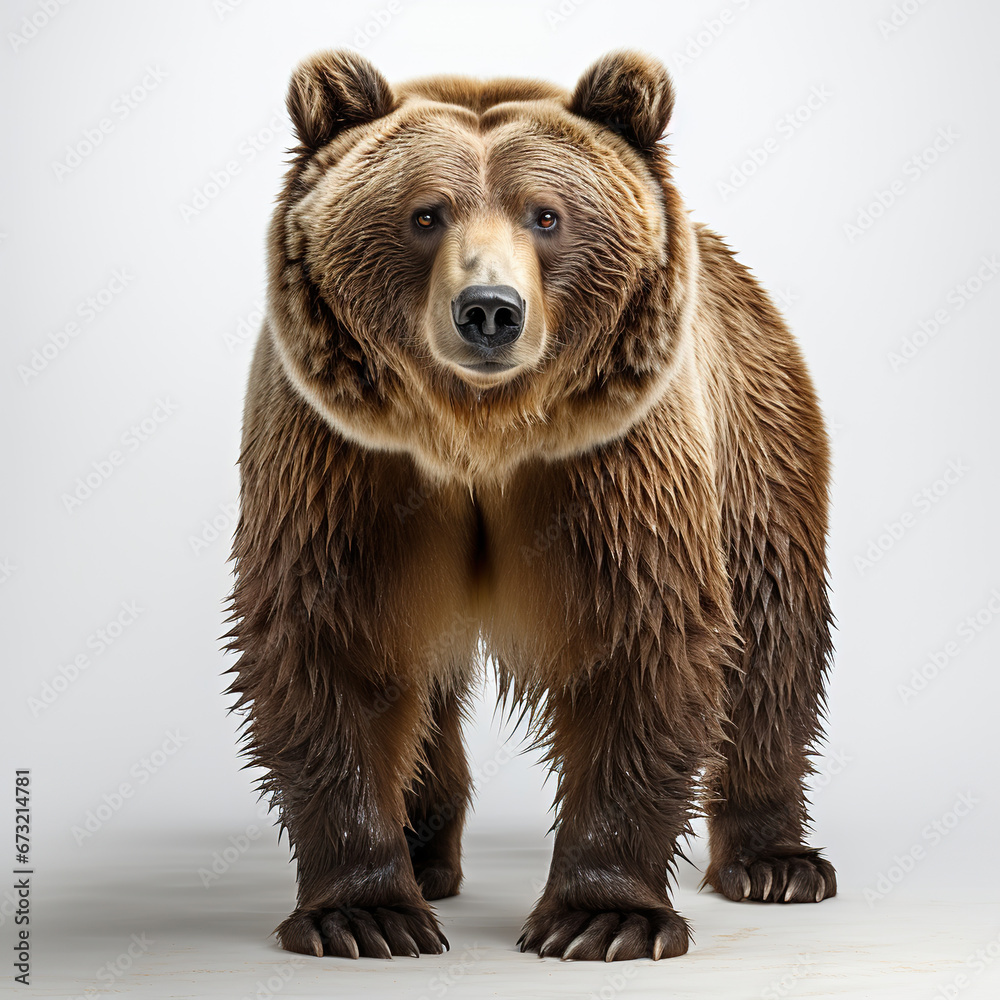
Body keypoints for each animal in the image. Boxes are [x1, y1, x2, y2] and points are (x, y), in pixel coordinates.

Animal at [225, 48, 837, 963]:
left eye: (546, 215)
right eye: (425, 213)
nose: (489, 311)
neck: (480, 434)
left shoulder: (614, 462)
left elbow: (640, 638)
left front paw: (601, 916)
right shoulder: (345, 462)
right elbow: (332, 643)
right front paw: (365, 913)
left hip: (756, 431)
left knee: (772, 629)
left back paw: (777, 863)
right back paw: (426, 854)